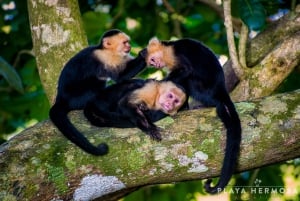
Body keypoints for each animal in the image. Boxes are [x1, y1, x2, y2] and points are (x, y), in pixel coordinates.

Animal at [145, 37, 241, 194]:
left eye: (152, 60)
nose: (156, 65)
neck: (167, 49)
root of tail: (221, 89)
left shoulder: (173, 54)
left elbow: (186, 70)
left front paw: (159, 82)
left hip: (203, 89)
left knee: (187, 80)